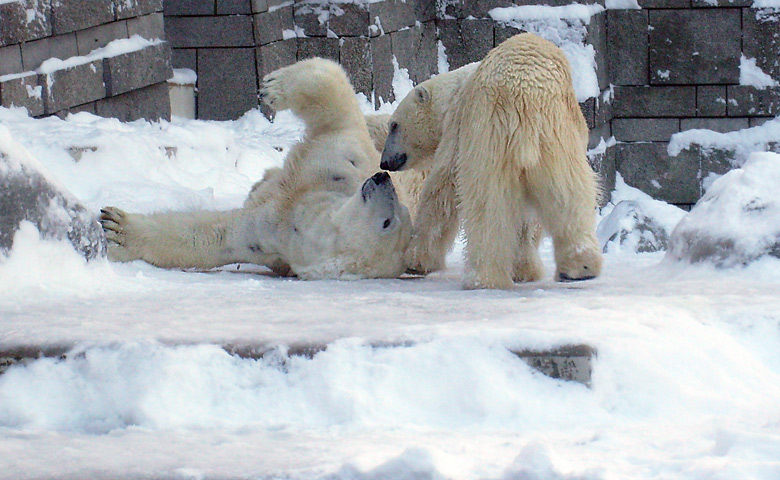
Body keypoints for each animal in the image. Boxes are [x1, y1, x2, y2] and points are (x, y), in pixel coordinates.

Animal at [102, 57, 414, 280]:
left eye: (389, 221)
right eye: (400, 210)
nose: (382, 178)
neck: (305, 205)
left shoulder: (268, 236)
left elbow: (211, 236)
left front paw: (117, 227)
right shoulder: (343, 159)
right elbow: (336, 107)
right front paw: (274, 86)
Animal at [380, 33, 600, 290]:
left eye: (394, 125)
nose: (384, 162)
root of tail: (524, 95)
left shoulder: (457, 124)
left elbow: (442, 189)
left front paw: (416, 260)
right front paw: (522, 269)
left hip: (490, 131)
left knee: (486, 202)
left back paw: (483, 278)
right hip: (555, 136)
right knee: (567, 191)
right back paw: (579, 267)